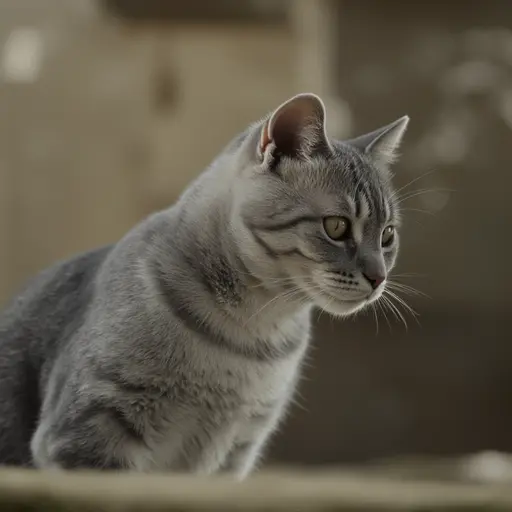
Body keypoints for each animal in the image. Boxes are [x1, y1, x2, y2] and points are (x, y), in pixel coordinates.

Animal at [0, 94, 408, 478]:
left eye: (388, 235)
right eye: (336, 226)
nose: (379, 277)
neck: (251, 338)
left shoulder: (236, 450)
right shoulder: (91, 428)